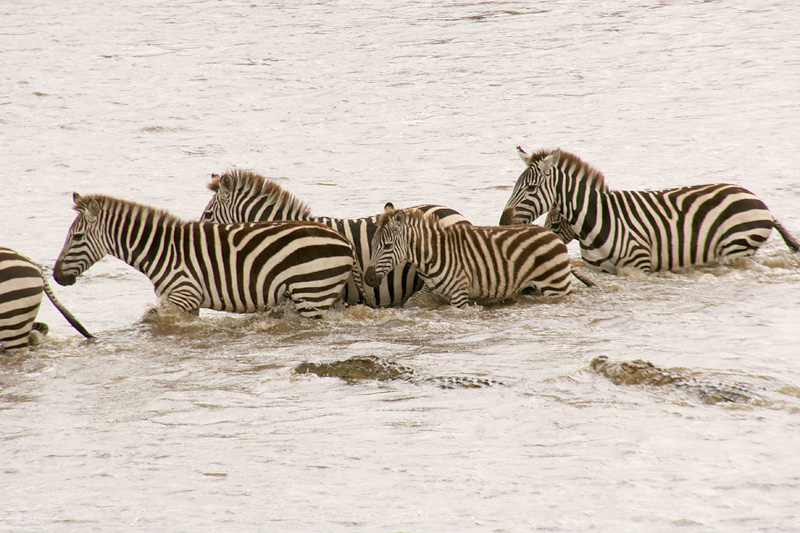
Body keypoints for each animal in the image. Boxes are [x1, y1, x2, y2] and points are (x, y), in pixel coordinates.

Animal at [54, 193, 354, 318]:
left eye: (77, 237)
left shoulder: (183, 295)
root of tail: (343, 241)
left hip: (312, 294)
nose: (56, 276)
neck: (161, 250)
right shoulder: (187, 302)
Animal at [362, 202, 588, 308]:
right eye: (372, 244)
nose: (368, 279)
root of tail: (553, 235)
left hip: (555, 287)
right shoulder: (437, 295)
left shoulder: (459, 295)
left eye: (388, 246)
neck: (434, 253)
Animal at [500, 147, 800, 274]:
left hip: (736, 248)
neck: (597, 223)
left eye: (531, 189)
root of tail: (760, 202)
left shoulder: (638, 266)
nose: (503, 221)